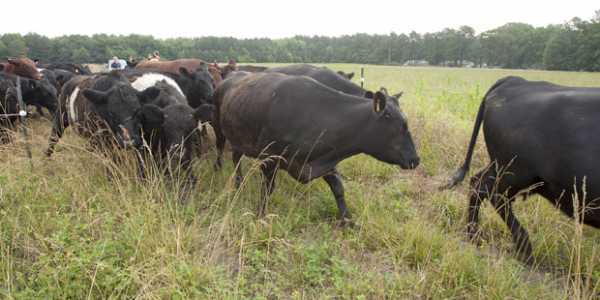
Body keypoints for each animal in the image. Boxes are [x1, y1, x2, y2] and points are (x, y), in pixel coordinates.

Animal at [213, 72, 420, 223]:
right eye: (401, 125)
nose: (415, 160)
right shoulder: (269, 158)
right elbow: (267, 190)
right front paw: (260, 215)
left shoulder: (328, 159)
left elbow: (338, 188)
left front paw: (347, 220)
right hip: (218, 128)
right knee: (223, 150)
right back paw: (228, 174)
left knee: (236, 156)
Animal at [442, 76, 600, 264]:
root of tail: (516, 80)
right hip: (514, 172)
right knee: (495, 196)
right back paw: (525, 249)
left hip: (500, 167)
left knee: (478, 184)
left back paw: (474, 235)